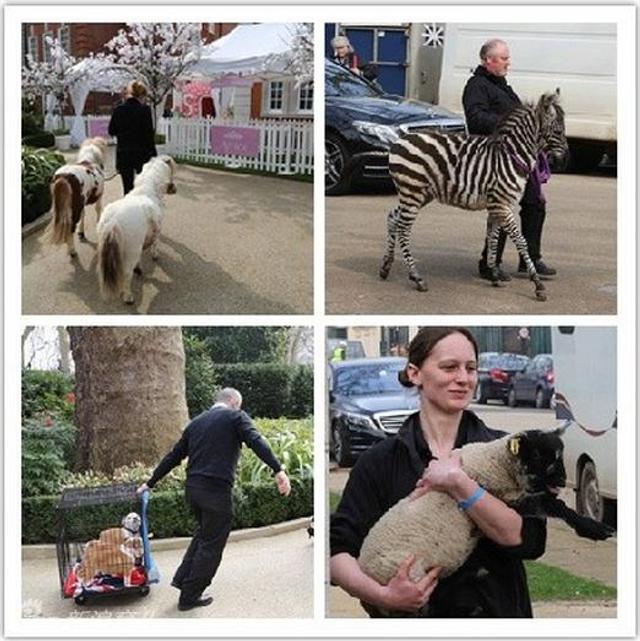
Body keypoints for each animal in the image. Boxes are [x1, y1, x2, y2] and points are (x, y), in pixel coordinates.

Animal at [95, 156, 176, 304]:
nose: (174, 189)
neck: (148, 190)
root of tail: (113, 221)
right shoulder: (157, 231)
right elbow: (155, 244)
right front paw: (154, 256)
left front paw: (139, 267)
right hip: (131, 251)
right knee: (127, 273)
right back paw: (128, 296)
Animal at [358, 424, 612, 584]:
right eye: (537, 455)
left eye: (560, 454)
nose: (561, 480)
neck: (498, 462)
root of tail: (364, 568)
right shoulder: (506, 500)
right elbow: (553, 504)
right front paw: (595, 529)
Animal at [378, 89, 568, 302]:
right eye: (558, 131)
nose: (565, 161)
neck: (510, 157)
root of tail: (400, 140)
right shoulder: (502, 205)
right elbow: (520, 240)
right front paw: (537, 284)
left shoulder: (498, 206)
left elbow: (493, 238)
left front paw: (494, 276)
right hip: (413, 191)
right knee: (403, 229)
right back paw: (417, 278)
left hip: (417, 194)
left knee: (393, 218)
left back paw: (386, 266)